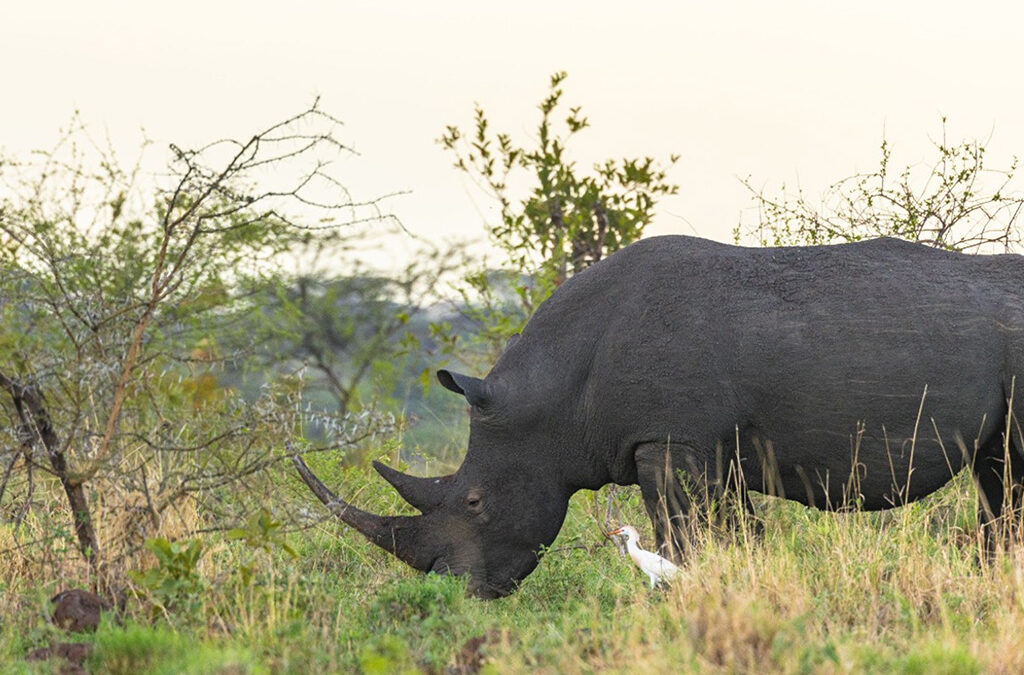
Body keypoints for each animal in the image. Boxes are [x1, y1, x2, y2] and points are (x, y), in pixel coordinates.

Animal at [294, 235, 1024, 598]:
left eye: (473, 501)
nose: (452, 592)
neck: (552, 397)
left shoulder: (670, 440)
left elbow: (690, 535)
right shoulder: (704, 445)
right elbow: (735, 535)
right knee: (998, 476)